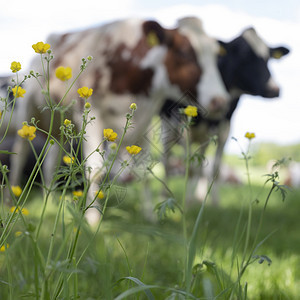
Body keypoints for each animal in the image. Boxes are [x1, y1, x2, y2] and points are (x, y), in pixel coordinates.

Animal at [8, 16, 229, 223]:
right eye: (184, 52)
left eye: (216, 55)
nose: (220, 100)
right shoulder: (91, 114)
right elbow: (96, 170)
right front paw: (92, 218)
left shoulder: (145, 122)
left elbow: (145, 172)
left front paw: (149, 216)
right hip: (27, 111)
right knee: (19, 154)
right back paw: (11, 199)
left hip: (58, 126)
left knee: (50, 164)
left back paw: (51, 200)